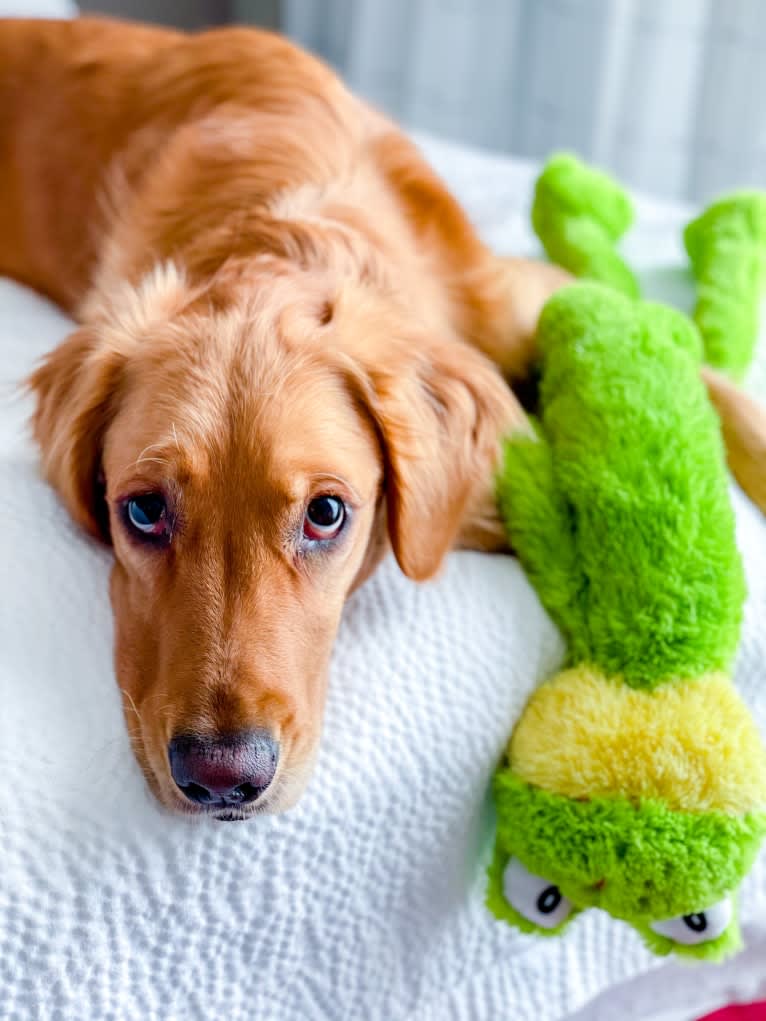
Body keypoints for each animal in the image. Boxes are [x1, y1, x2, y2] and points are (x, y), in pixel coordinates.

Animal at [3, 17, 763, 820]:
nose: (222, 777)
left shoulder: (525, 296)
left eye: (327, 513)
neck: (278, 219)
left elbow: (704, 372)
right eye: (143, 510)